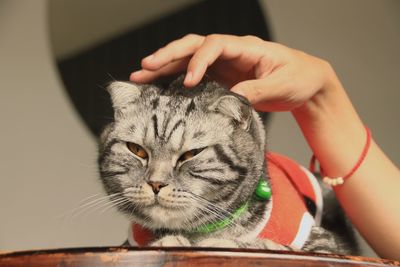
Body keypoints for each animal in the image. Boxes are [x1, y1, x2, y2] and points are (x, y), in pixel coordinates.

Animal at [98, 76, 358, 255]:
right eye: (137, 150)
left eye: (191, 154)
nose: (156, 183)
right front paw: (168, 241)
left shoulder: (326, 245)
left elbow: (267, 245)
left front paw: (216, 242)